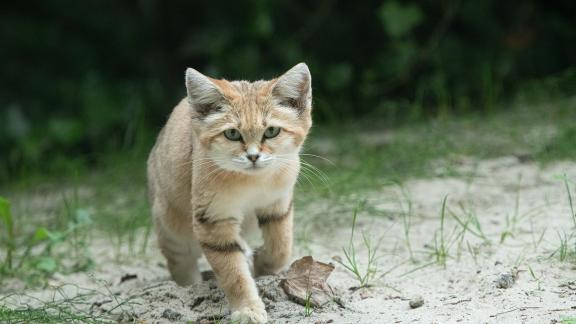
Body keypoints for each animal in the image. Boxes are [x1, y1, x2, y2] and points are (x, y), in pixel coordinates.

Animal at [146, 64, 312, 324]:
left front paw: (263, 264)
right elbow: (233, 272)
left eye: (272, 131)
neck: (252, 182)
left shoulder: (278, 205)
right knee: (181, 266)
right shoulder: (213, 219)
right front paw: (247, 309)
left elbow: (281, 247)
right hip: (172, 229)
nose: (253, 156)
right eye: (232, 134)